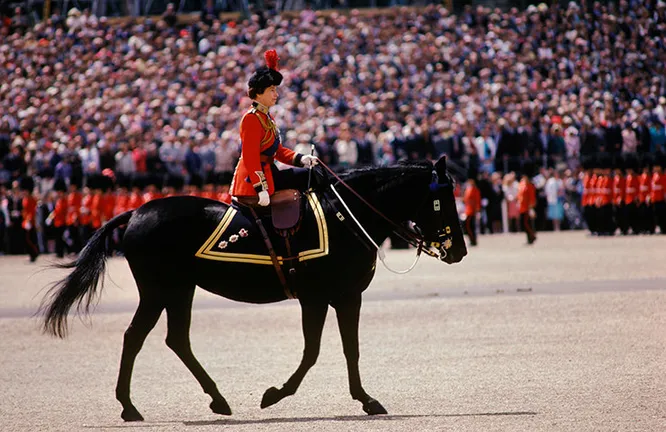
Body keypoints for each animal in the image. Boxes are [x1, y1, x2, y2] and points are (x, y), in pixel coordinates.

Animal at [39, 157, 464, 420]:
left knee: (175, 339)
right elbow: (313, 352)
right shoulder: (316, 298)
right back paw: (130, 406)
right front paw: (274, 394)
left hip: (179, 290)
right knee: (135, 337)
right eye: (442, 199)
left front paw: (366, 399)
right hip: (160, 289)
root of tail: (139, 210)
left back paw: (216, 399)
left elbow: (350, 349)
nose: (458, 250)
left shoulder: (347, 297)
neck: (345, 216)